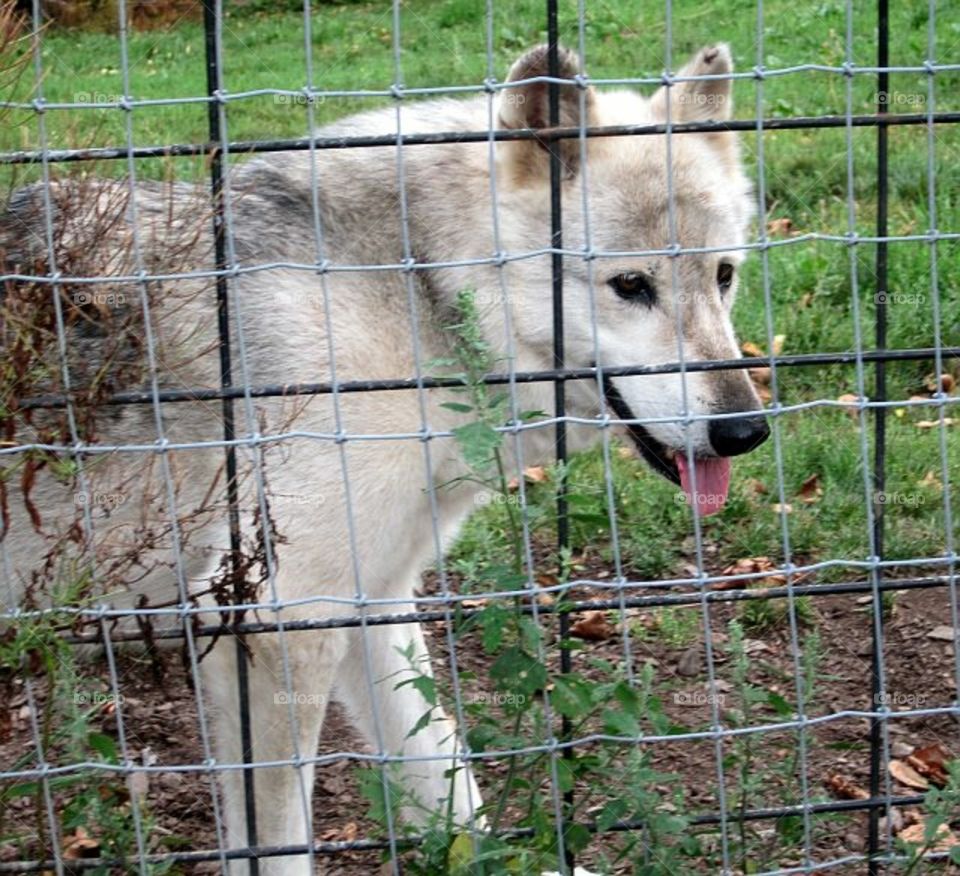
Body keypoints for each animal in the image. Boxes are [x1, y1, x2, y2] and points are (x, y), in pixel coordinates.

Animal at [1, 42, 767, 874]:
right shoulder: (276, 623)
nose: (746, 430)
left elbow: (448, 781)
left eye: (724, 276)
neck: (416, 288)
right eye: (631, 285)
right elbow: (280, 841)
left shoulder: (376, 602)